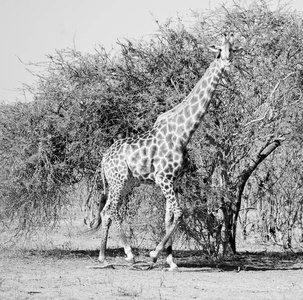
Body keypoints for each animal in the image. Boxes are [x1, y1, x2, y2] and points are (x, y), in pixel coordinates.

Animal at [92, 34, 242, 270]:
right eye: (219, 50)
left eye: (233, 49)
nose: (227, 62)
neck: (183, 133)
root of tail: (104, 158)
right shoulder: (163, 178)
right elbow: (179, 213)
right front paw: (154, 254)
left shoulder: (174, 180)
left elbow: (169, 217)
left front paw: (171, 260)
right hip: (118, 180)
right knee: (110, 210)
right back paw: (125, 255)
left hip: (127, 182)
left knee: (107, 211)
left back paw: (106, 256)